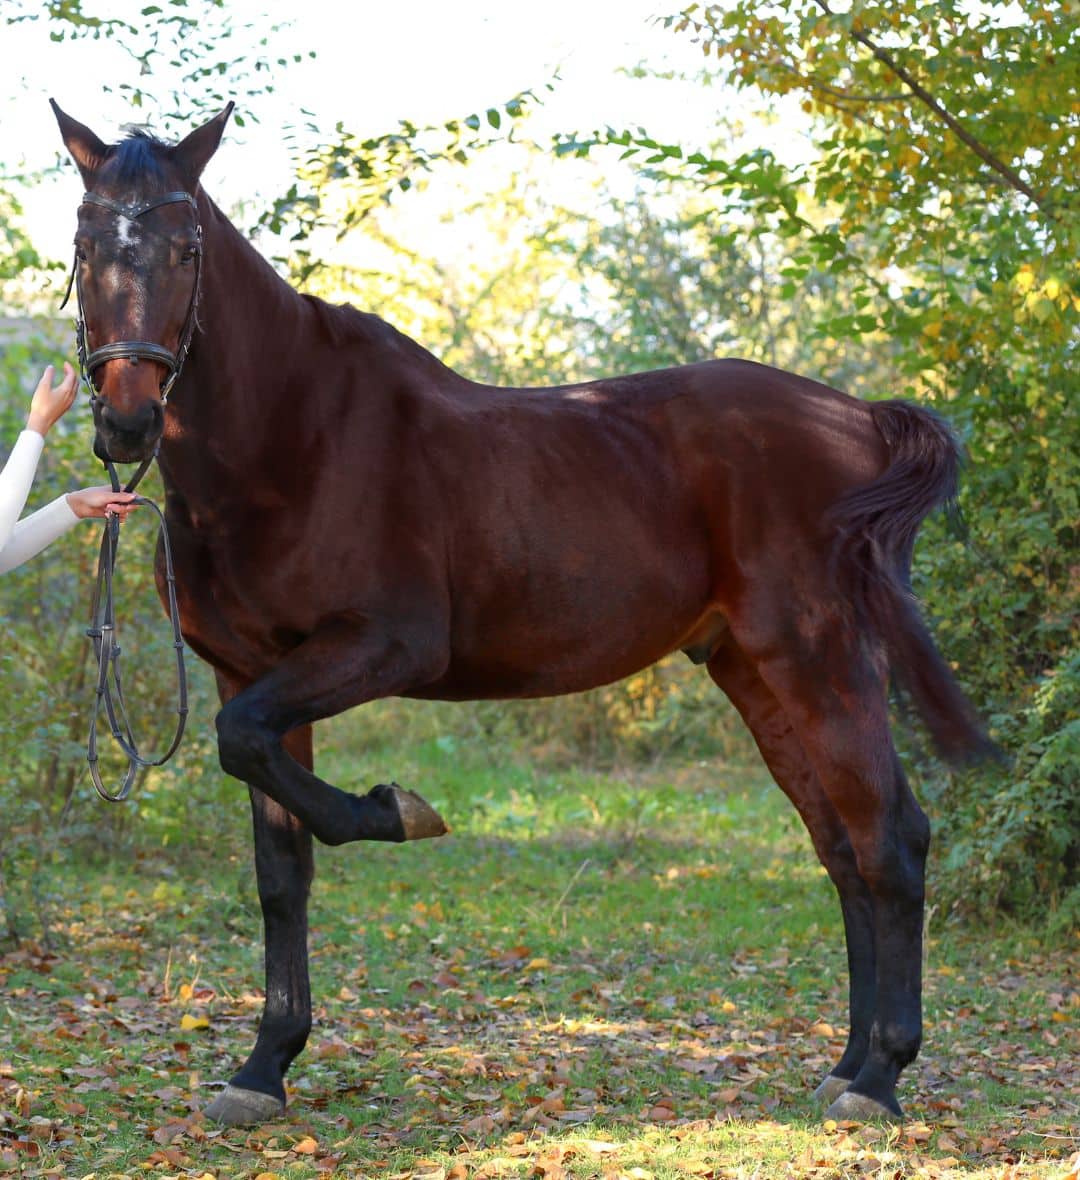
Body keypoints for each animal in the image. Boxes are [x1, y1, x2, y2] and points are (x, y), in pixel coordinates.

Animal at [50, 101, 990, 1128]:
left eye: (187, 248)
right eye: (84, 242)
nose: (126, 423)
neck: (293, 439)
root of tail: (858, 420)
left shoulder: (382, 647)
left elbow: (250, 749)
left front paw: (396, 811)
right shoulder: (249, 670)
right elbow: (279, 867)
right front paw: (263, 1068)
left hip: (821, 660)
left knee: (891, 839)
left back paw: (881, 1076)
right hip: (756, 674)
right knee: (841, 848)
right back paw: (847, 1063)